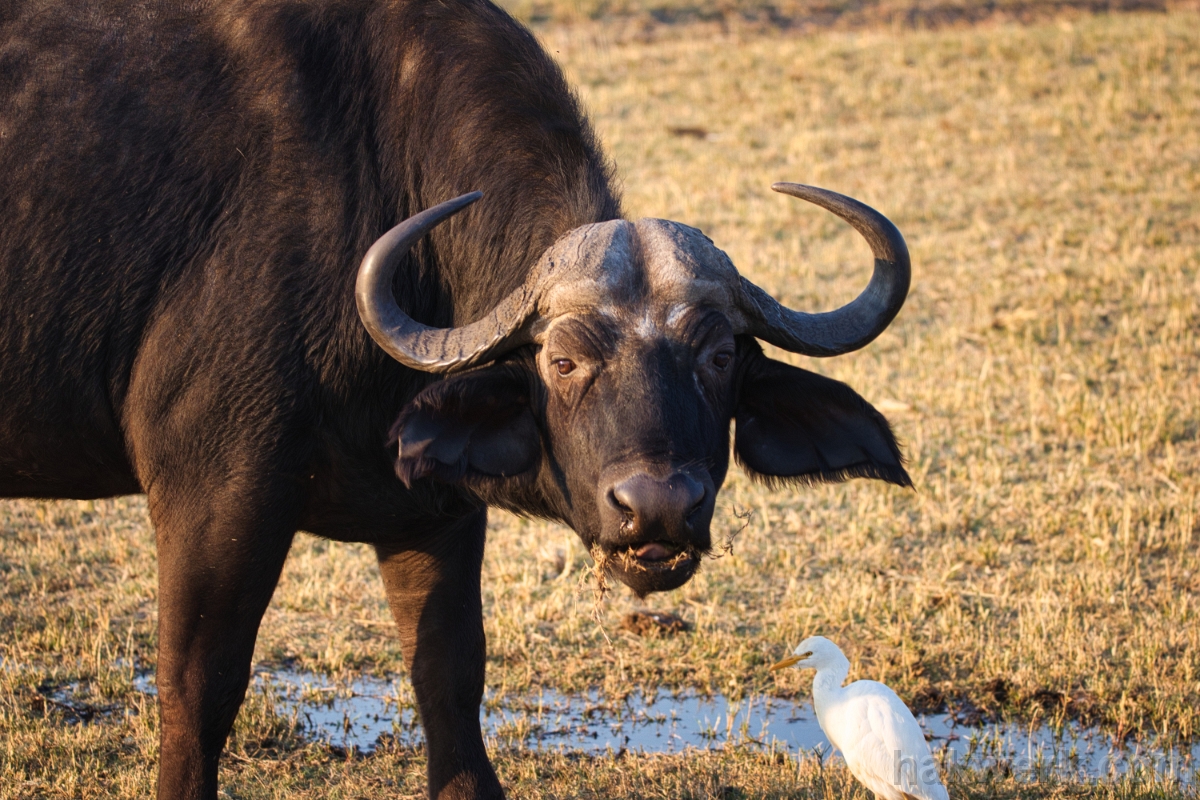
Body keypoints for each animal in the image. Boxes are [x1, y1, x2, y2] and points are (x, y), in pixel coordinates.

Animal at [0, 1, 902, 800]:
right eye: (563, 360)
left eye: (718, 357)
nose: (658, 509)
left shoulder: (436, 511)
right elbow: (199, 686)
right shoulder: (214, 492)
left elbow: (450, 677)